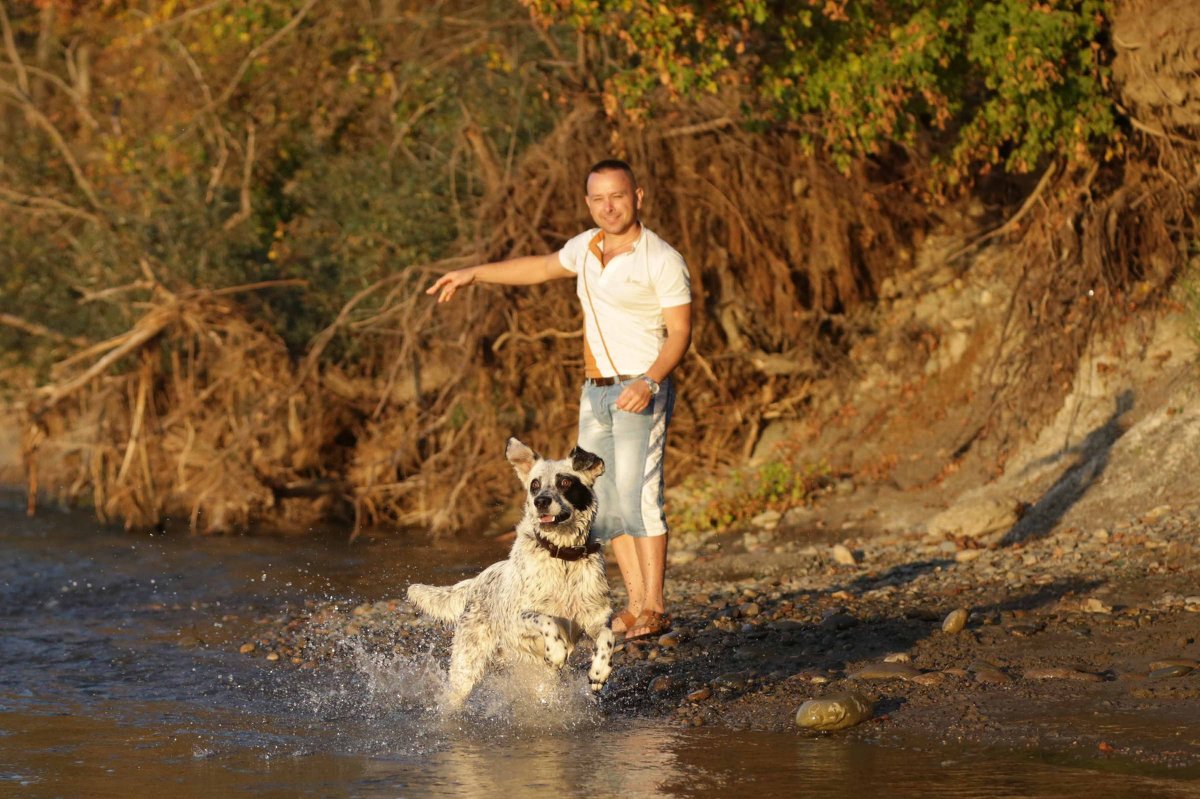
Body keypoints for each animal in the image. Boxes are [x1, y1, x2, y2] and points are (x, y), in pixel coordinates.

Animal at [410, 439, 619, 705]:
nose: (541, 501)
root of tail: (476, 581)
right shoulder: (518, 619)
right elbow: (546, 619)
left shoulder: (595, 617)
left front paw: (599, 671)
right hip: (466, 669)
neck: (563, 558)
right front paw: (557, 652)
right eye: (535, 485)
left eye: (565, 482)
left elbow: (608, 637)